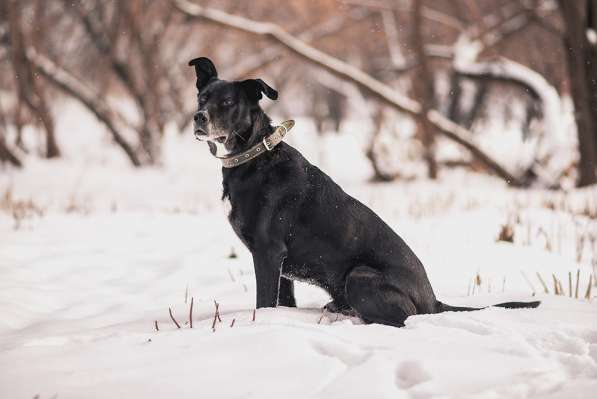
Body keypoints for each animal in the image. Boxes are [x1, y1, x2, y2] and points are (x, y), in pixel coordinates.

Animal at [189, 57, 536, 328]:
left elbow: (264, 302)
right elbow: (282, 302)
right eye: (202, 98)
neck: (255, 155)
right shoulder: (280, 265)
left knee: (400, 320)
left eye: (227, 103)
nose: (198, 117)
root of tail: (433, 301)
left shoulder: (268, 252)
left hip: (359, 276)